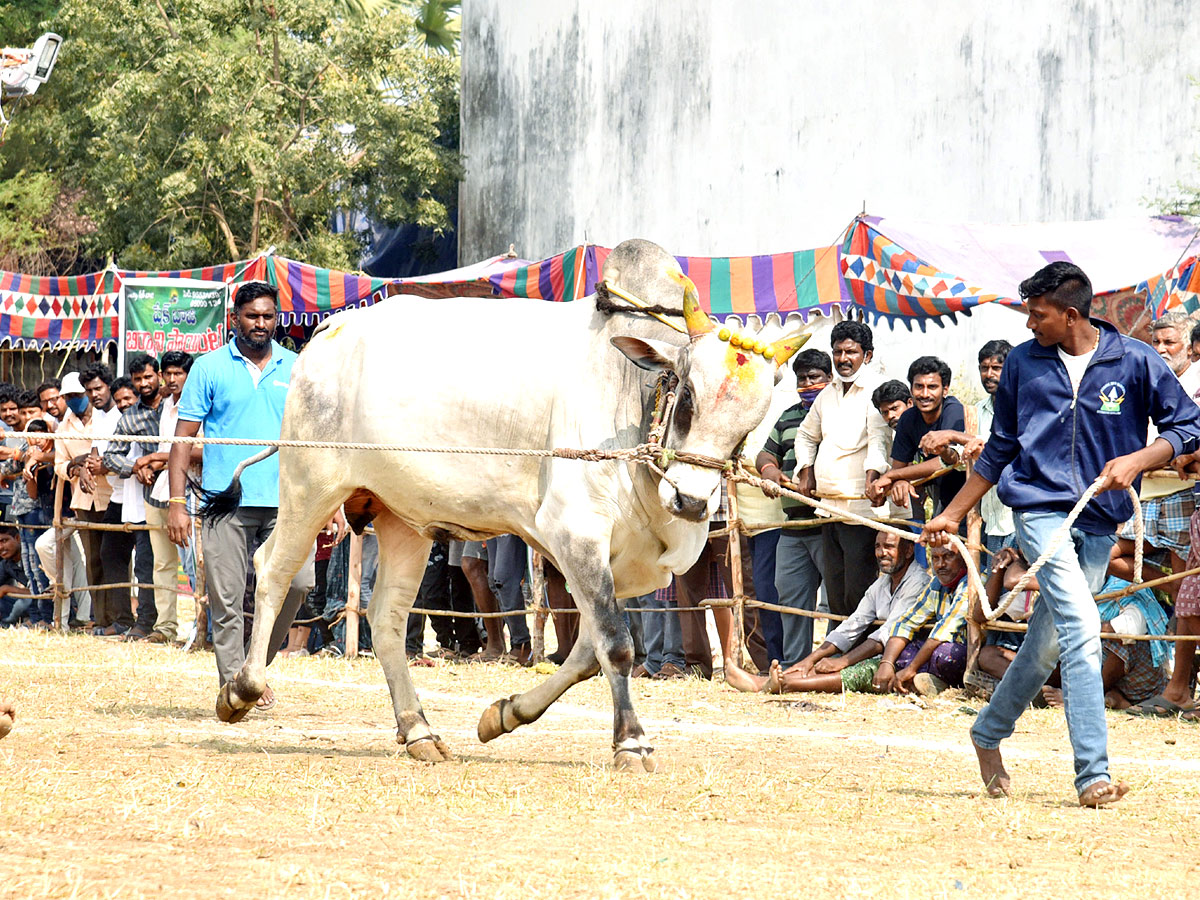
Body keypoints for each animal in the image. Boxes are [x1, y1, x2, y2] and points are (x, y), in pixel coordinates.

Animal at [211, 241, 811, 777]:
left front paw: (503, 715)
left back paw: (419, 731)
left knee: (386, 618)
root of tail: (326, 333)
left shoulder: (628, 566)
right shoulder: (575, 532)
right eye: (686, 394)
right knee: (273, 570)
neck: (633, 400)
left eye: (752, 421)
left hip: (404, 519)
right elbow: (616, 644)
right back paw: (242, 689)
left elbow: (589, 650)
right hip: (310, 484)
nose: (691, 500)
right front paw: (632, 743)